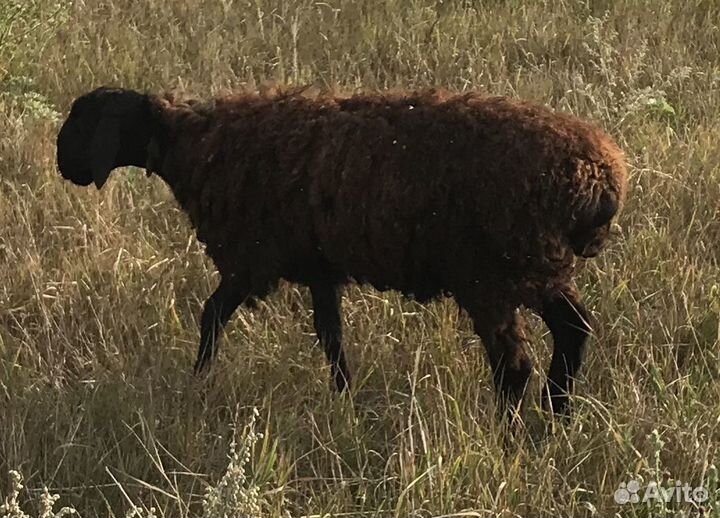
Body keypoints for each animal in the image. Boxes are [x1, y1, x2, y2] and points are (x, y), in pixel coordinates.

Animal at [56, 86, 628, 422]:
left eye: (84, 120)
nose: (63, 164)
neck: (195, 147)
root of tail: (600, 177)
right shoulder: (319, 268)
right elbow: (330, 336)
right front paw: (344, 401)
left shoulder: (251, 260)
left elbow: (211, 315)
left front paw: (198, 383)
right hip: (537, 267)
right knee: (574, 329)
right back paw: (556, 419)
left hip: (495, 271)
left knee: (515, 366)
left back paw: (511, 434)